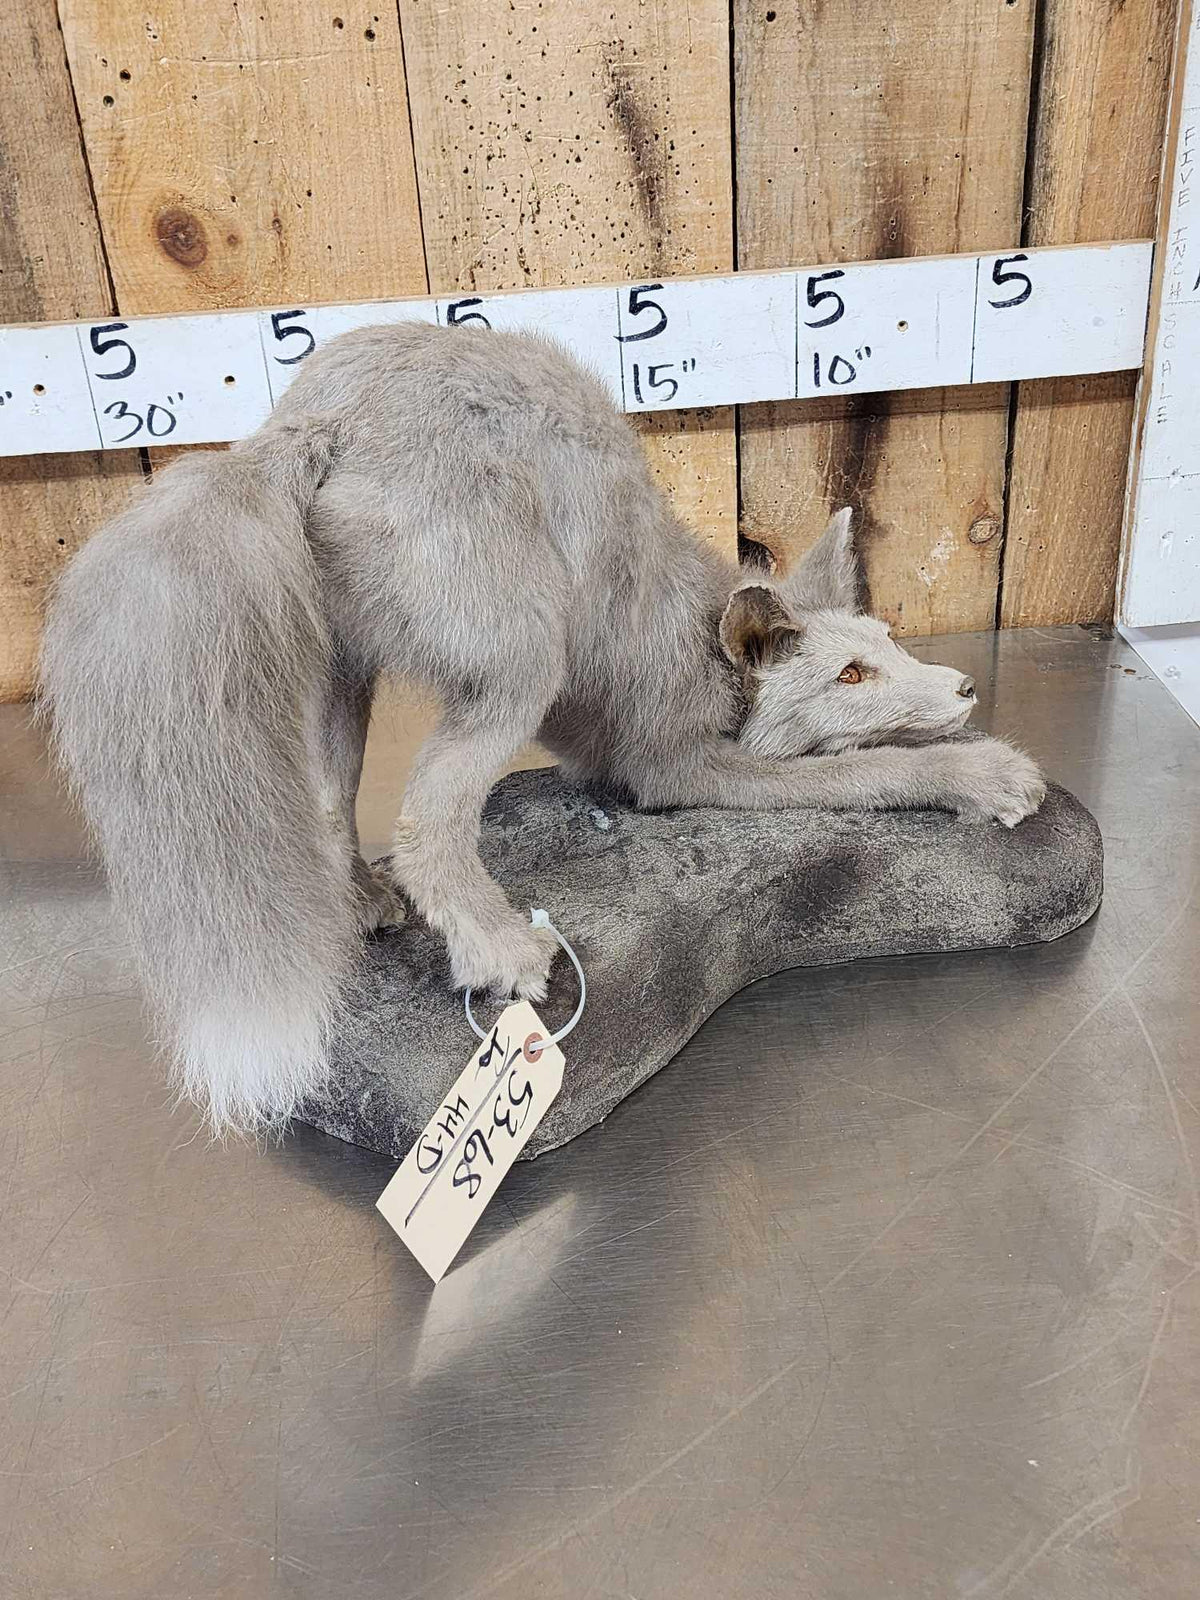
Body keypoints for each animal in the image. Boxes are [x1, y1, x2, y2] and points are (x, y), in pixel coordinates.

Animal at [40, 322, 1045, 1135]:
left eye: (888, 641)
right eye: (851, 674)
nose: (964, 684)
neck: (694, 633)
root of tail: (306, 423)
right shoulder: (676, 767)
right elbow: (869, 770)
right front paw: (986, 774)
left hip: (347, 665)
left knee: (331, 802)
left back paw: (360, 900)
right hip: (526, 654)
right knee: (425, 819)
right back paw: (495, 950)